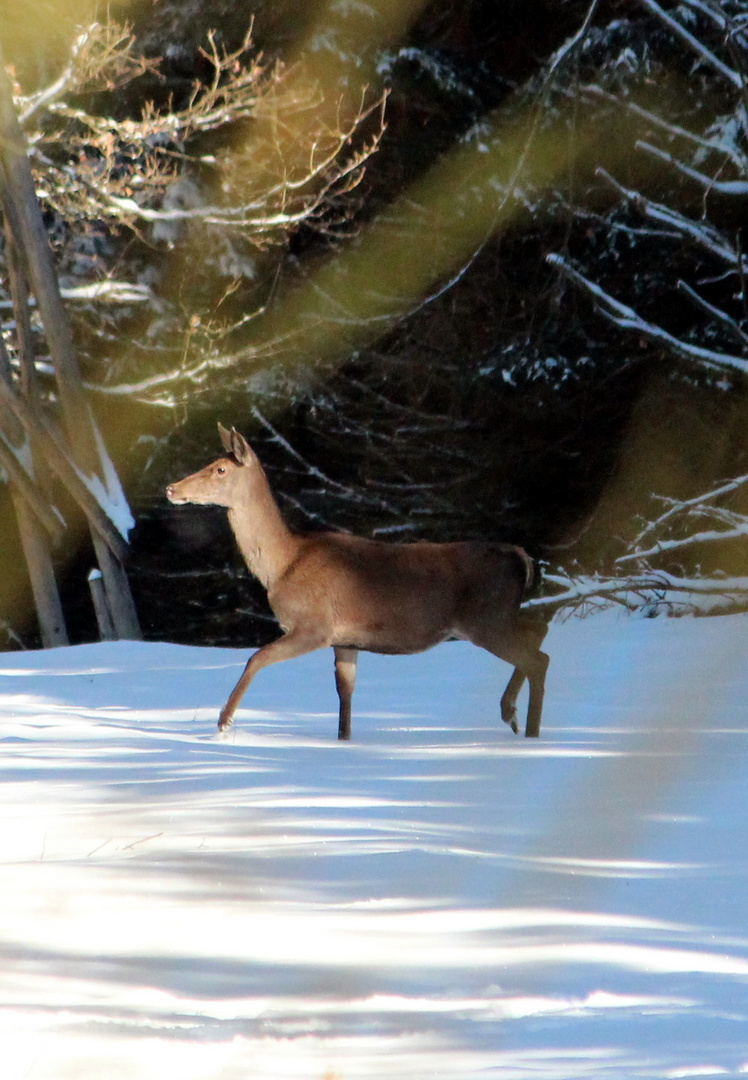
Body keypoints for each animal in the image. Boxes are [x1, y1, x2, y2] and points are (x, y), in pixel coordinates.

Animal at [165, 425, 548, 738]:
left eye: (220, 469)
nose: (171, 488)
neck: (283, 563)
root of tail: (521, 557)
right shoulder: (346, 641)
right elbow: (345, 700)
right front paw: (344, 743)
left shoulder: (314, 625)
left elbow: (256, 658)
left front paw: (223, 722)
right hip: (498, 615)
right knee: (539, 633)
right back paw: (511, 714)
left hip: (485, 617)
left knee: (538, 658)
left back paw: (529, 733)